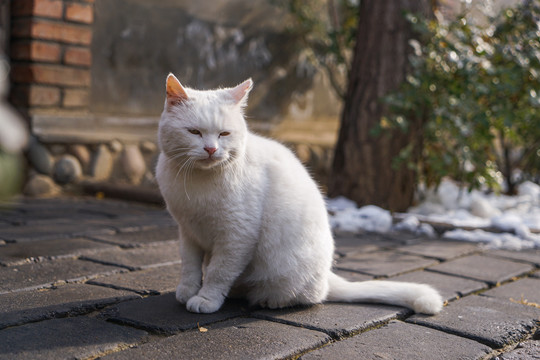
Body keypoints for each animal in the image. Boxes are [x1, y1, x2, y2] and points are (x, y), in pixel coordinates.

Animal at [156, 74, 442, 316]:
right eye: (194, 132)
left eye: (224, 133)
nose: (211, 149)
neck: (197, 183)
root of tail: (327, 275)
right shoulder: (188, 231)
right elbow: (190, 266)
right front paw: (187, 292)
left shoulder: (236, 237)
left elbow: (218, 272)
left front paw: (206, 299)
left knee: (306, 297)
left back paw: (266, 300)